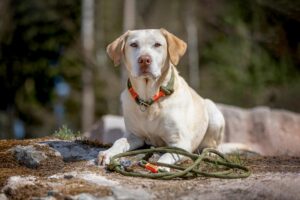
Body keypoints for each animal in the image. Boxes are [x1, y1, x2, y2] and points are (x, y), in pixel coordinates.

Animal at [98, 28, 225, 167]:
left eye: (157, 44)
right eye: (134, 45)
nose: (144, 60)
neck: (149, 99)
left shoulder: (181, 142)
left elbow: (167, 155)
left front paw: (161, 167)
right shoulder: (134, 135)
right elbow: (119, 141)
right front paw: (107, 153)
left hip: (213, 112)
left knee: (213, 144)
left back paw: (211, 153)